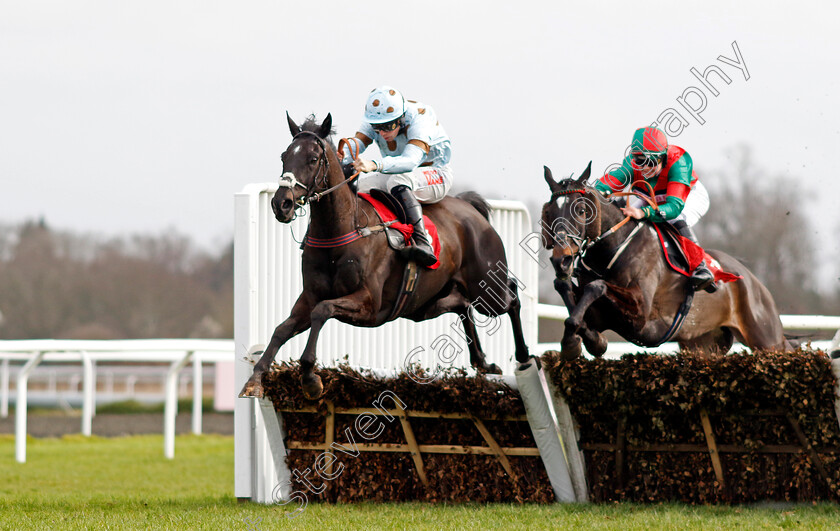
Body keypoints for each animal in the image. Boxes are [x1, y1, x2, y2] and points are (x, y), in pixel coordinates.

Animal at [238, 115, 524, 400]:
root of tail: (471, 210)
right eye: (284, 156)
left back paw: (524, 357)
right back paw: (483, 362)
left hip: (485, 287)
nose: (281, 204)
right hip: (425, 304)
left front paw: (309, 377)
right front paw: (255, 379)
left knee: (511, 298)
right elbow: (281, 329)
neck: (344, 230)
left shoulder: (369, 304)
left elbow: (323, 311)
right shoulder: (309, 297)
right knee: (462, 305)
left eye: (313, 158)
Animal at [540, 163, 796, 362]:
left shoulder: (641, 317)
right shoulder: (600, 315)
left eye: (582, 210)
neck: (614, 246)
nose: (561, 259)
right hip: (702, 345)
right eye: (550, 212)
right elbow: (567, 297)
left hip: (766, 339)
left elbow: (597, 286)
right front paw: (579, 343)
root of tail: (753, 281)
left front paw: (581, 342)